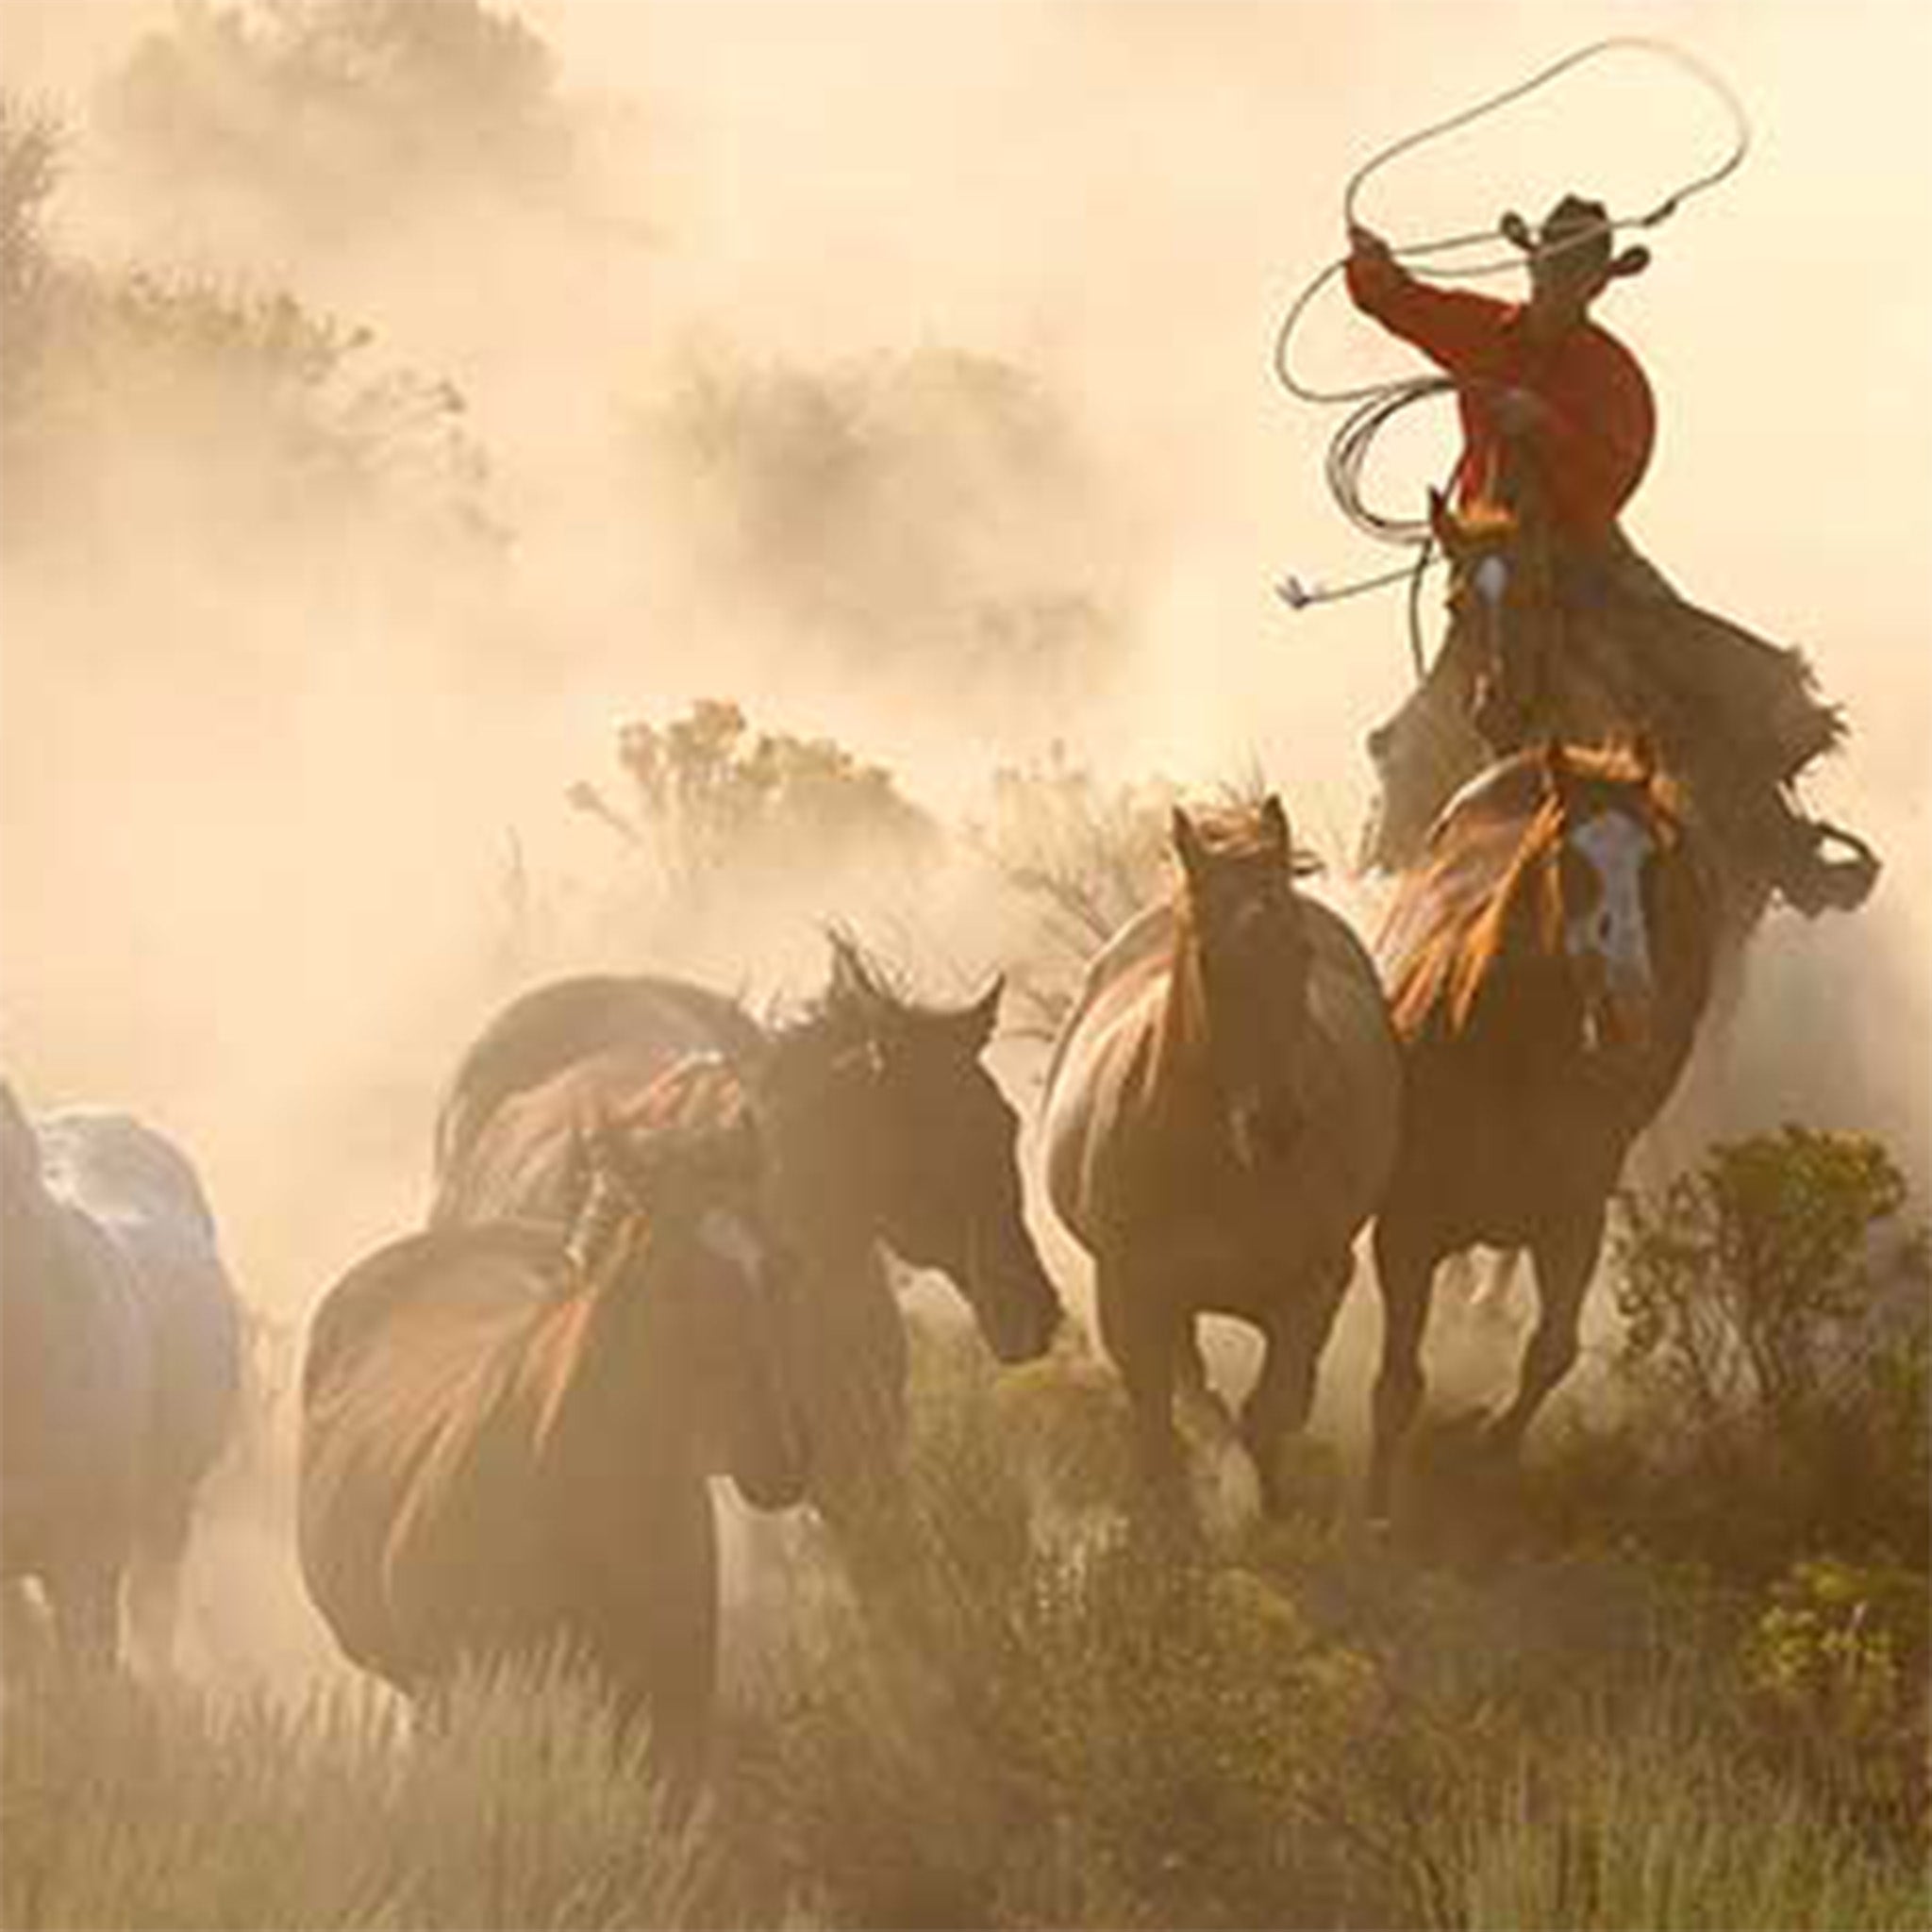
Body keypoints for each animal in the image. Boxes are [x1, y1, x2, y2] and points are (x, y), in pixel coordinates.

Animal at [1042, 795, 1406, 1507]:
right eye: (1208, 959)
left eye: (1300, 950)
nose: (1275, 1125)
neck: (1218, 1166)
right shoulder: (1132, 1298)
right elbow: (1163, 1432)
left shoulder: (1305, 1294)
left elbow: (1268, 1414)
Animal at [1375, 730, 1723, 1514]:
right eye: (1571, 858)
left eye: (1652, 864)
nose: (1630, 1010)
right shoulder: (1404, 1228)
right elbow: (1399, 1382)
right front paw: (1375, 1506)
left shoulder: (1572, 1224)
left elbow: (1551, 1352)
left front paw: (1483, 1448)